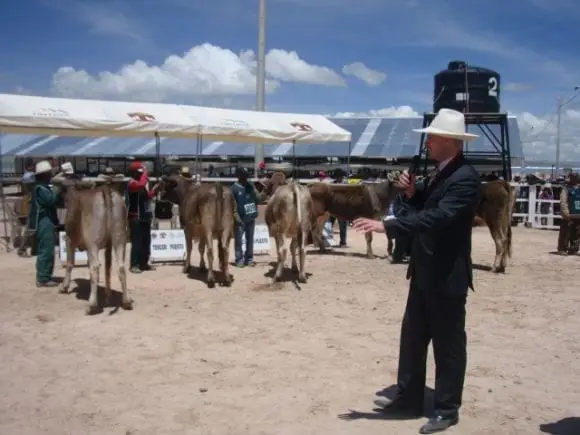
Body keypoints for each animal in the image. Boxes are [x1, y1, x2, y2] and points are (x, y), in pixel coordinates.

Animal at [55, 175, 131, 316]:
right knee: (121, 267)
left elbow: (69, 263)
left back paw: (91, 305)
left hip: (93, 243)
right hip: (119, 238)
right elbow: (107, 268)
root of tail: (104, 189)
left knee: (95, 267)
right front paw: (108, 295)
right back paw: (126, 301)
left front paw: (64, 286)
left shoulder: (69, 238)